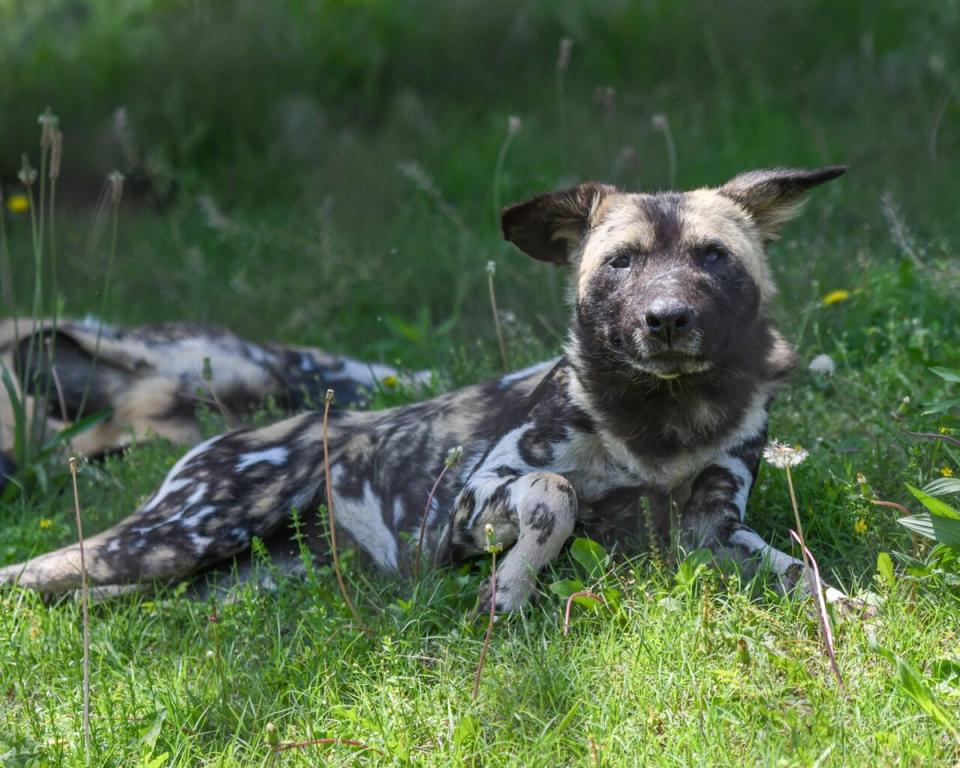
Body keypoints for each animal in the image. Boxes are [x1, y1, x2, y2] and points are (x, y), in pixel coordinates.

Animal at [1, 168, 856, 612]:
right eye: (621, 263)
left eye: (713, 258)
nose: (667, 319)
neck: (662, 424)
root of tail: (224, 433)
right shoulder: (473, 501)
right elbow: (556, 498)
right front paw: (507, 594)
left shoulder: (715, 531)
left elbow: (800, 573)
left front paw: (848, 613)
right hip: (176, 538)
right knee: (37, 572)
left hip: (232, 578)